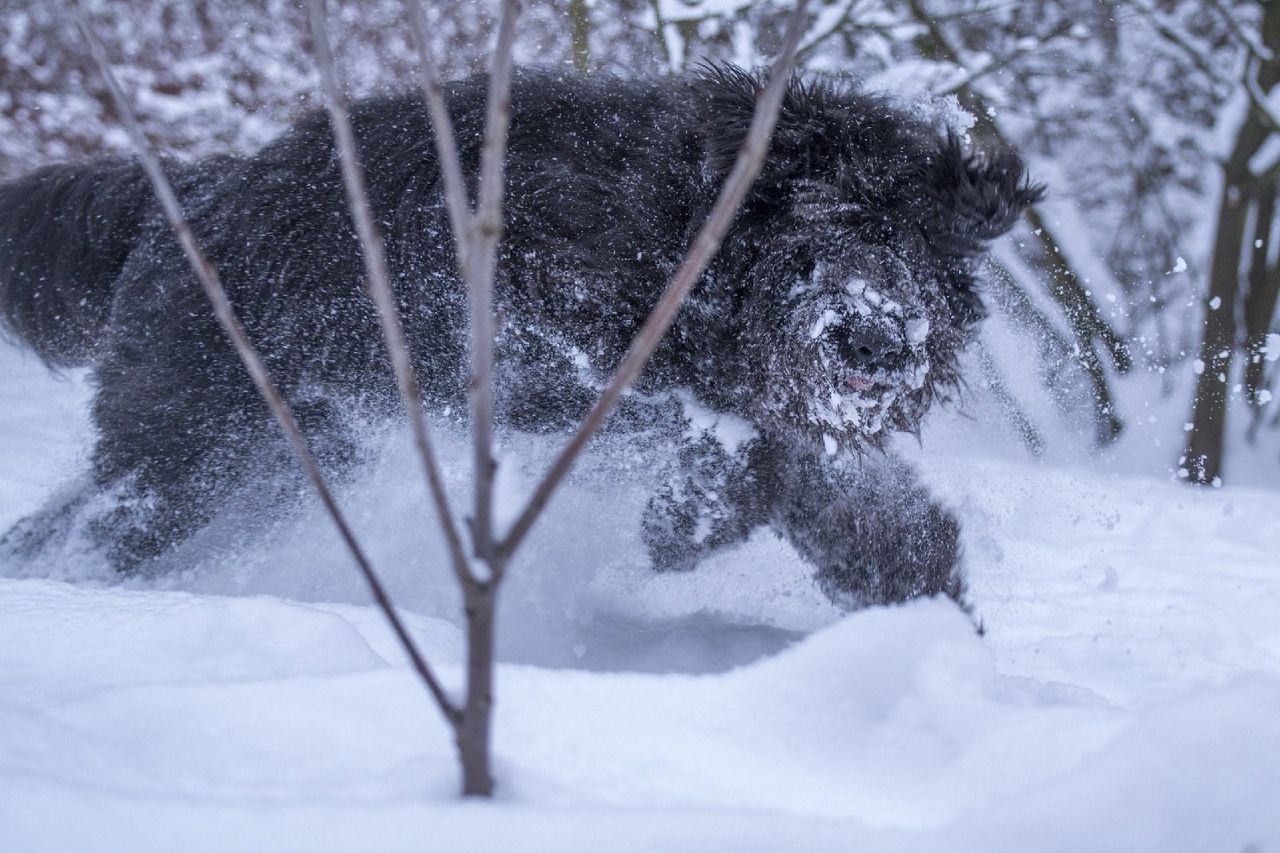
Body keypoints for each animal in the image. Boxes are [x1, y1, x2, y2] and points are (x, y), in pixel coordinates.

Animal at [0, 69, 1039, 607]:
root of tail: (186, 191)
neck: (689, 225)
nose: (876, 339)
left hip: (274, 465)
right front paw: (683, 524)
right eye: (822, 224)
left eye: (919, 240)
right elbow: (727, 452)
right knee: (92, 529)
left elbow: (860, 508)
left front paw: (922, 612)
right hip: (191, 449)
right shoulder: (551, 349)